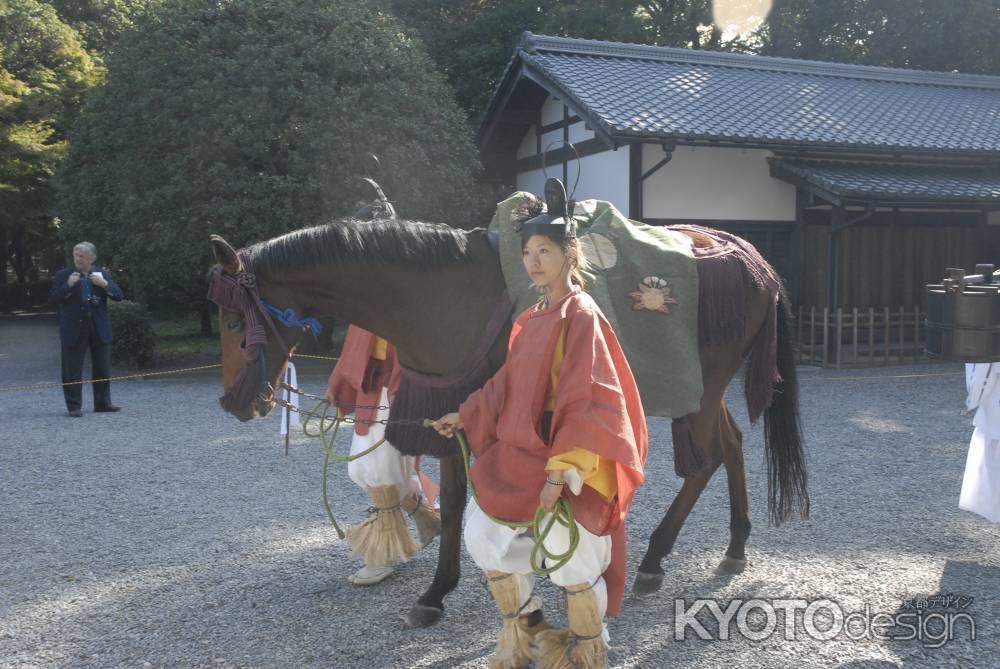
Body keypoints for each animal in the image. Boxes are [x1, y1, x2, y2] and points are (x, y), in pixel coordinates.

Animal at [207, 214, 808, 628]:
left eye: (235, 321)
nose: (235, 402)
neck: (447, 297)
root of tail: (750, 256)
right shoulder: (450, 410)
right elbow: (453, 503)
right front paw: (439, 591)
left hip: (704, 385)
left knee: (704, 462)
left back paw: (656, 559)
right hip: (703, 389)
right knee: (731, 446)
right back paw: (734, 546)